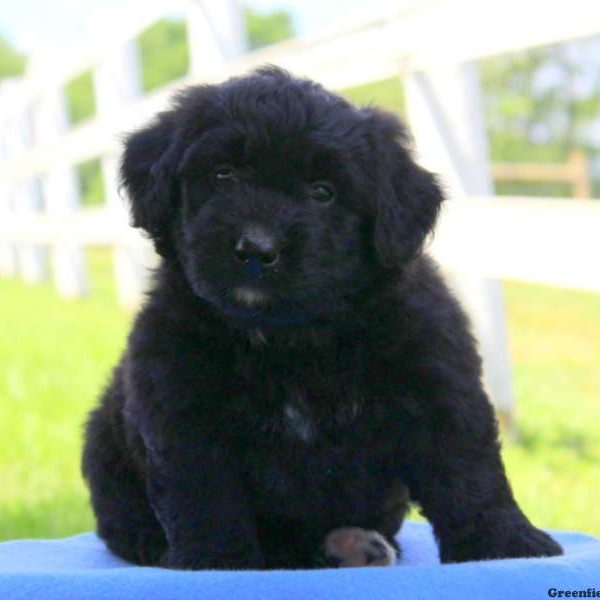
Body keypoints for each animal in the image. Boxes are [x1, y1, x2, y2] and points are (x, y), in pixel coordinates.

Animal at [81, 68, 564, 568]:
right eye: (223, 174)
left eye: (322, 193)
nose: (257, 248)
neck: (290, 337)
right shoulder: (181, 409)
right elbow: (204, 494)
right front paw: (215, 561)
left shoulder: (438, 387)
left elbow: (469, 472)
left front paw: (506, 544)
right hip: (102, 440)